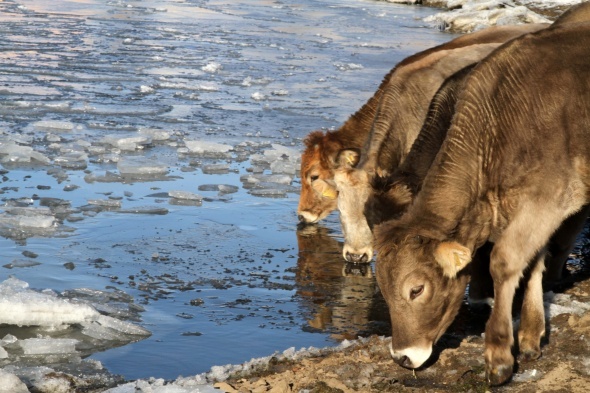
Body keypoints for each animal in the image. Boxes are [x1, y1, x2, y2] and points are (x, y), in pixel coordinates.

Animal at [374, 19, 590, 384]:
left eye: (416, 289)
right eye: (383, 290)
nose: (402, 357)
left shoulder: (548, 200)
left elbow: (504, 262)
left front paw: (499, 354)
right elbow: (532, 263)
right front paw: (531, 336)